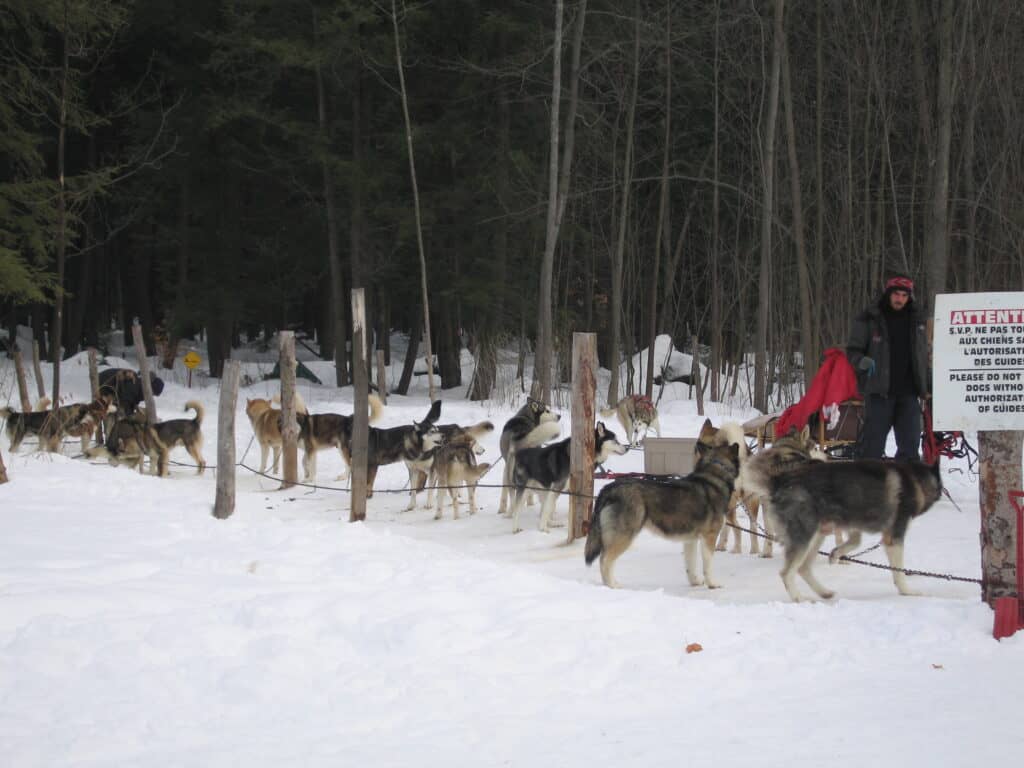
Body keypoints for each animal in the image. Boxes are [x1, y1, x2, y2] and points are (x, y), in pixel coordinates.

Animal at [585, 438, 745, 589]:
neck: (714, 472)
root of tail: (609, 488)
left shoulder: (690, 540)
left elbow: (690, 565)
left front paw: (695, 582)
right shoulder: (709, 537)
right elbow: (708, 566)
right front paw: (713, 584)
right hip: (624, 535)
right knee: (604, 560)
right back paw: (612, 585)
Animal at [770, 460, 942, 606]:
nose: (941, 492)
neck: (915, 481)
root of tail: (780, 480)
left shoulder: (854, 524)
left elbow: (855, 541)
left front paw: (836, 554)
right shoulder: (894, 536)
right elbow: (899, 572)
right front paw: (907, 591)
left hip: (818, 533)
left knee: (803, 568)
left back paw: (824, 592)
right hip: (805, 535)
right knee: (786, 573)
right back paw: (799, 598)